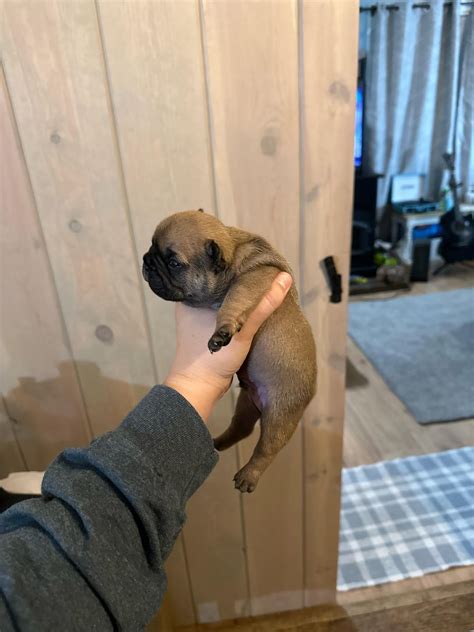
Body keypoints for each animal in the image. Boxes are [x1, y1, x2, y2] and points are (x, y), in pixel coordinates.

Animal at [143, 210, 316, 492]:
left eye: (173, 263)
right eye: (151, 247)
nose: (146, 260)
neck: (233, 255)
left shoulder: (255, 278)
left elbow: (236, 297)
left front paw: (222, 330)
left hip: (280, 415)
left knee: (266, 450)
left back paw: (248, 476)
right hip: (246, 405)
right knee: (241, 429)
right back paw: (217, 443)